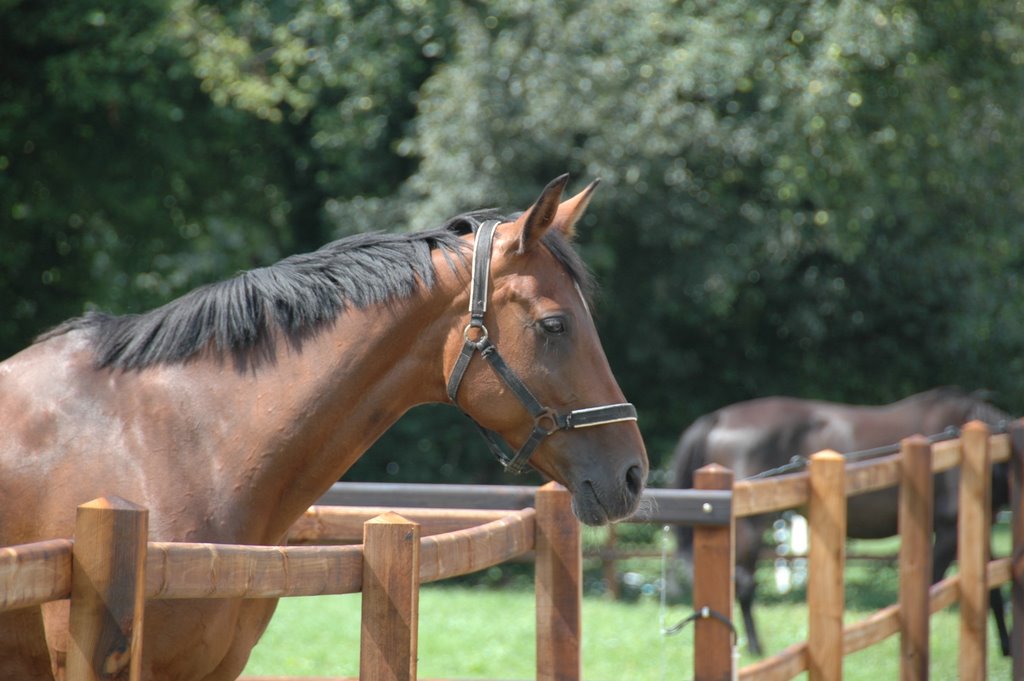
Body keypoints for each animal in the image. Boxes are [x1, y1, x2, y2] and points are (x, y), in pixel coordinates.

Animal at [667, 391, 1011, 655]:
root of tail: (719, 417)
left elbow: (991, 585)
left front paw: (1006, 646)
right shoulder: (950, 527)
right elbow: (932, 584)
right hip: (750, 525)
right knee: (744, 582)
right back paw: (754, 646)